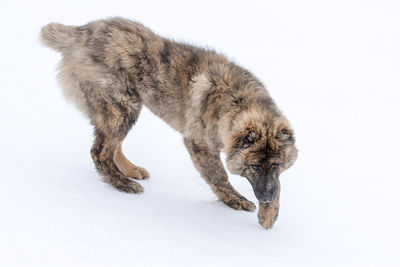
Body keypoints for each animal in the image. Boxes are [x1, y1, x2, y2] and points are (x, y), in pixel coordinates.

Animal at [40, 17, 296, 229]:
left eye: (275, 165)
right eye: (253, 167)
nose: (266, 197)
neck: (237, 101)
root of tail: (79, 33)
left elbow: (279, 183)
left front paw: (269, 214)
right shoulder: (199, 144)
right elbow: (219, 177)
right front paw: (237, 201)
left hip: (121, 108)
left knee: (112, 146)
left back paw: (130, 171)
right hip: (122, 106)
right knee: (100, 152)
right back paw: (122, 183)